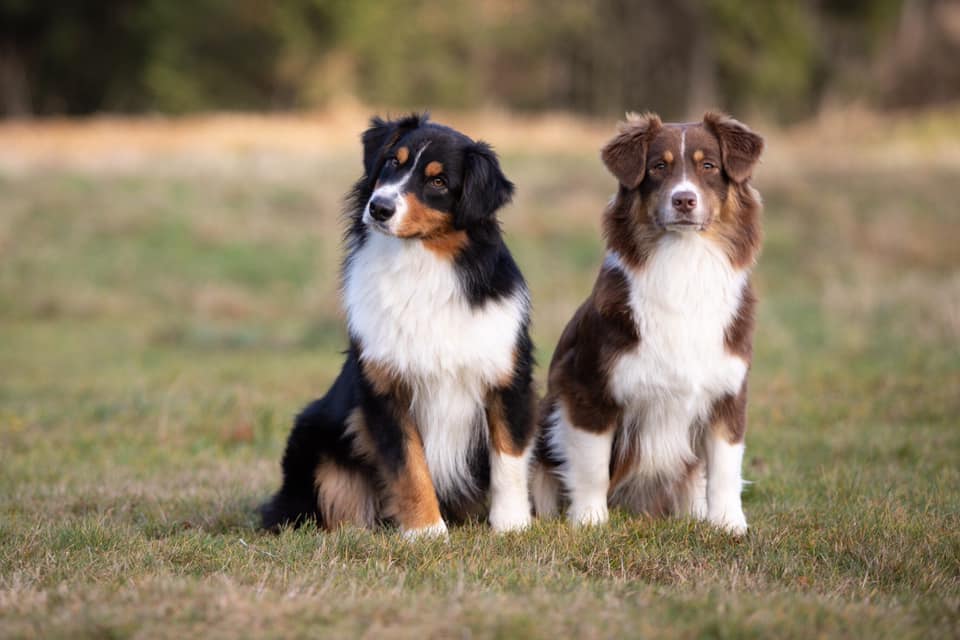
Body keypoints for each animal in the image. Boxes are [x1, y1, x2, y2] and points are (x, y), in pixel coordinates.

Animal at [258, 114, 536, 536]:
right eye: (392, 161)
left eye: (439, 182)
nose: (379, 208)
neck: (419, 264)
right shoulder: (385, 389)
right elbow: (410, 466)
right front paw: (427, 532)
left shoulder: (506, 379)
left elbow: (509, 458)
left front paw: (512, 525)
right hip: (313, 436)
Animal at [532, 111, 764, 536]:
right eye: (658, 167)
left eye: (709, 166)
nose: (684, 199)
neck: (685, 265)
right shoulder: (588, 387)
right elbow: (591, 466)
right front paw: (589, 520)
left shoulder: (729, 393)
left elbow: (725, 468)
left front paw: (729, 524)